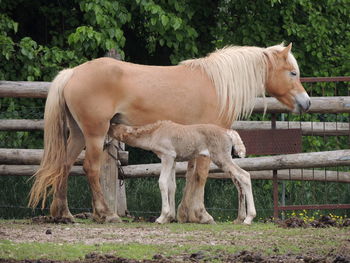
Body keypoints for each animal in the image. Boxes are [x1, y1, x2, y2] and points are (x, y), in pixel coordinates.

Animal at [109, 120, 258, 226]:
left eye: (110, 131)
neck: (155, 133)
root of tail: (228, 132)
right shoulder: (173, 160)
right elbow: (171, 186)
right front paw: (169, 217)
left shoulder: (167, 156)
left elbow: (162, 182)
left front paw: (161, 217)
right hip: (226, 159)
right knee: (240, 179)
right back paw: (242, 219)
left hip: (221, 158)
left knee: (244, 176)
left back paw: (248, 219)